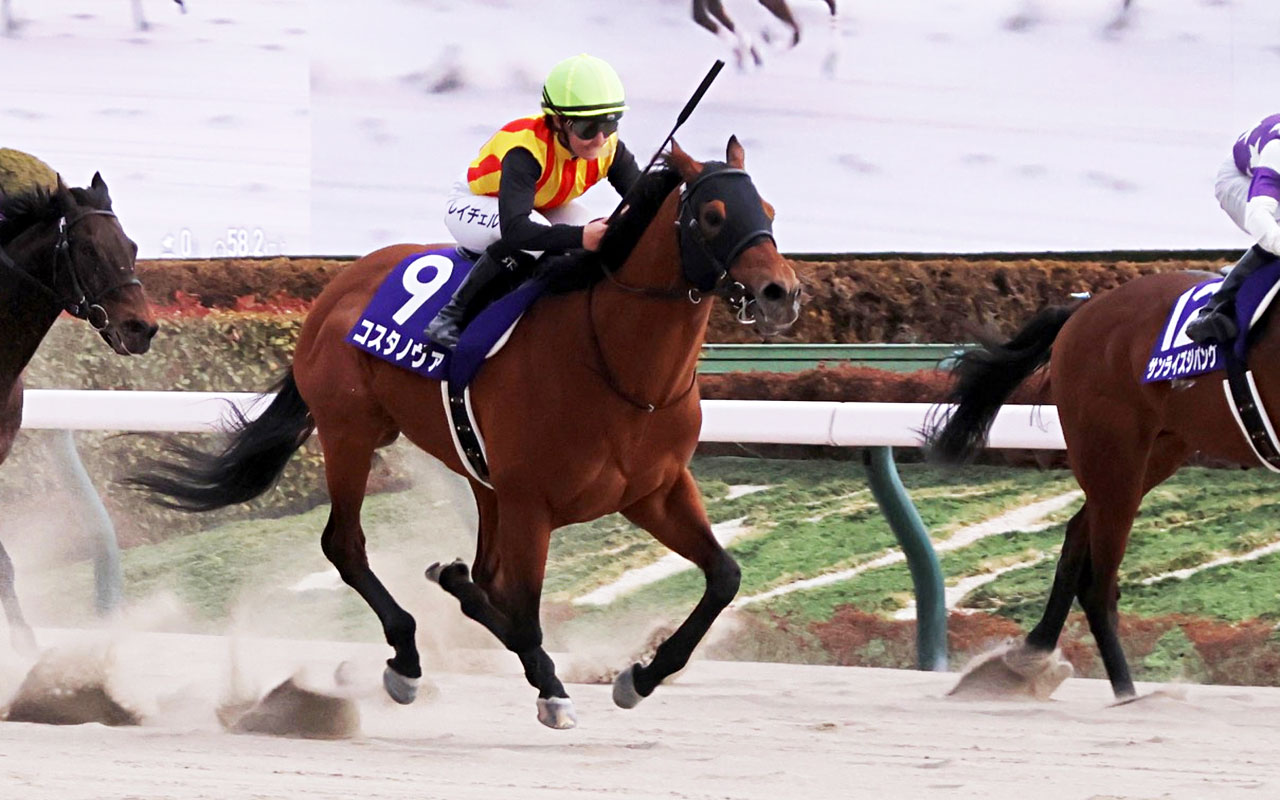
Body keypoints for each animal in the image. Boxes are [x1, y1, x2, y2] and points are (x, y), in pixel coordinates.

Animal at [130, 138, 803, 728]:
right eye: (713, 215)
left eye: (769, 211)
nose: (782, 293)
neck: (618, 367)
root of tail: (338, 287)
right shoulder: (532, 501)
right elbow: (526, 614)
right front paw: (552, 691)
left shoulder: (654, 491)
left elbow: (724, 577)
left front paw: (639, 677)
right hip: (350, 433)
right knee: (346, 545)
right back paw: (406, 657)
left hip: (478, 475)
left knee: (476, 572)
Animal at [924, 267, 1275, 700]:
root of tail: (1085, 309)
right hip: (1114, 455)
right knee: (1098, 585)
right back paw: (1125, 696)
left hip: (1153, 453)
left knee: (1078, 534)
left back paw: (1030, 658)